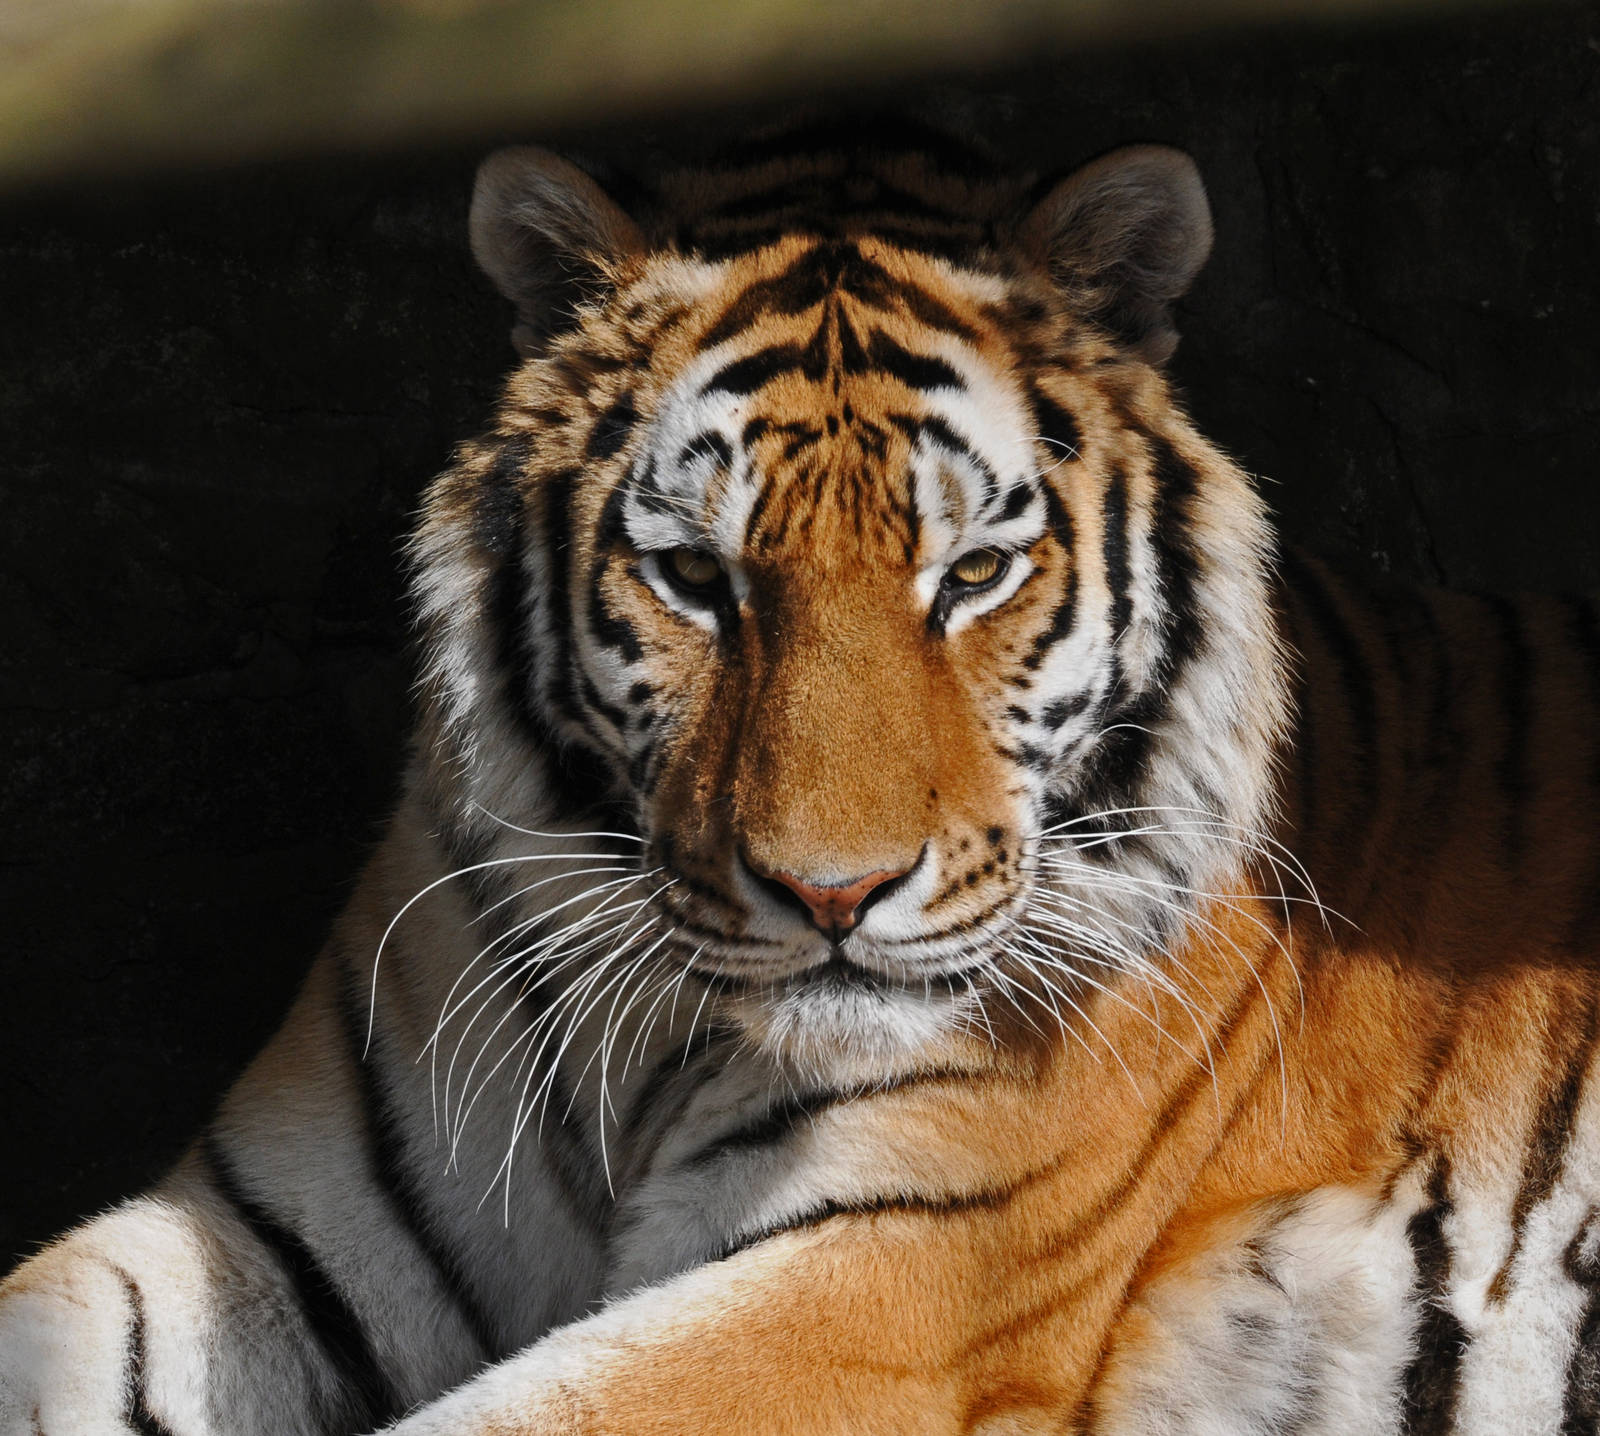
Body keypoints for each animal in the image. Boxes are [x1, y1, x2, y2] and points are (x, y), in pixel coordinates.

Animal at [3, 116, 1600, 1436]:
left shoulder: (869, 1293)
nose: (834, 895)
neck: (645, 1053)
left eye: (973, 575)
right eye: (697, 580)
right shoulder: (283, 1233)